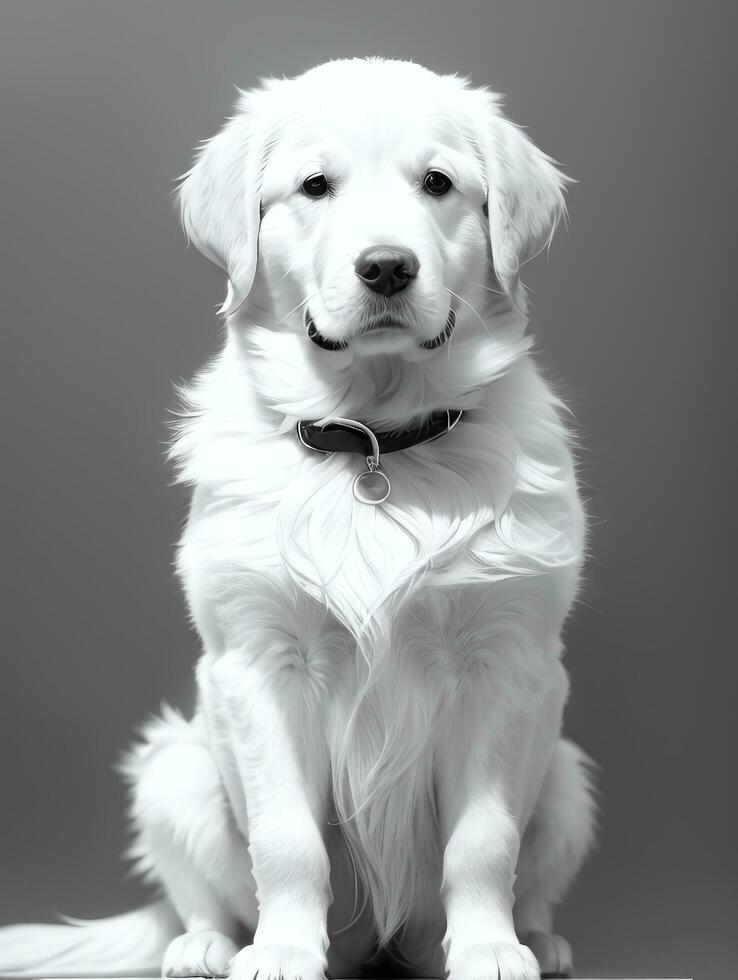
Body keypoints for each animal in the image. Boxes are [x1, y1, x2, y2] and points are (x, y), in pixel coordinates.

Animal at [0, 59, 596, 980]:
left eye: (439, 184)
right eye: (315, 186)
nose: (386, 268)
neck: (374, 442)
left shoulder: (504, 664)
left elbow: (483, 843)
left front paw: (490, 950)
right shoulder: (261, 663)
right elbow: (286, 843)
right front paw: (280, 950)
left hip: (566, 778)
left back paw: (538, 937)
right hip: (173, 769)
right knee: (198, 899)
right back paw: (206, 946)